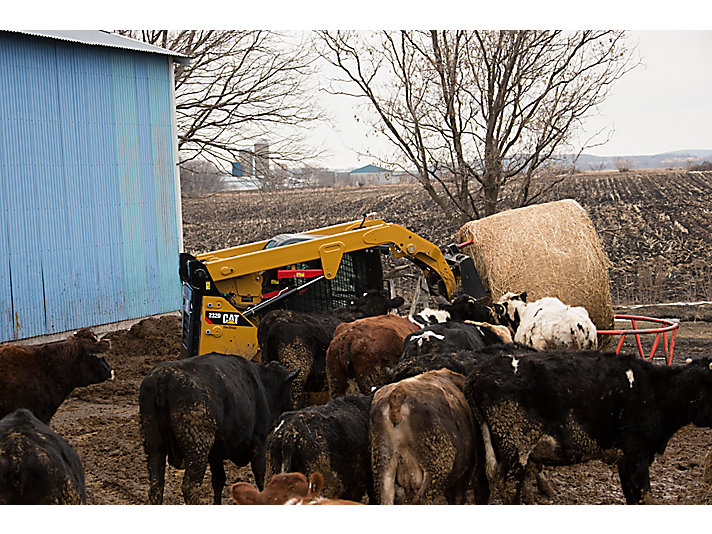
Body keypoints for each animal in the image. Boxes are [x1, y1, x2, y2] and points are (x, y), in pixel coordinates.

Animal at [139, 354, 298, 504]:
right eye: (289, 388)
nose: (291, 407)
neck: (262, 384)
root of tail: (165, 374)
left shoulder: (216, 452)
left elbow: (218, 480)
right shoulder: (259, 439)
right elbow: (260, 474)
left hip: (154, 445)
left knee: (156, 486)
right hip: (197, 448)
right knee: (190, 487)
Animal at [370, 370, 482, 504]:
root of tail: (398, 392)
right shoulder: (465, 472)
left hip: (383, 464)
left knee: (385, 497)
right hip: (437, 466)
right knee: (422, 498)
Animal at [464, 352, 712, 506]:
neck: (655, 390)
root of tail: (478, 373)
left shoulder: (624, 460)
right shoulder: (637, 455)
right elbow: (644, 497)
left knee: (482, 484)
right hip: (515, 447)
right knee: (509, 488)